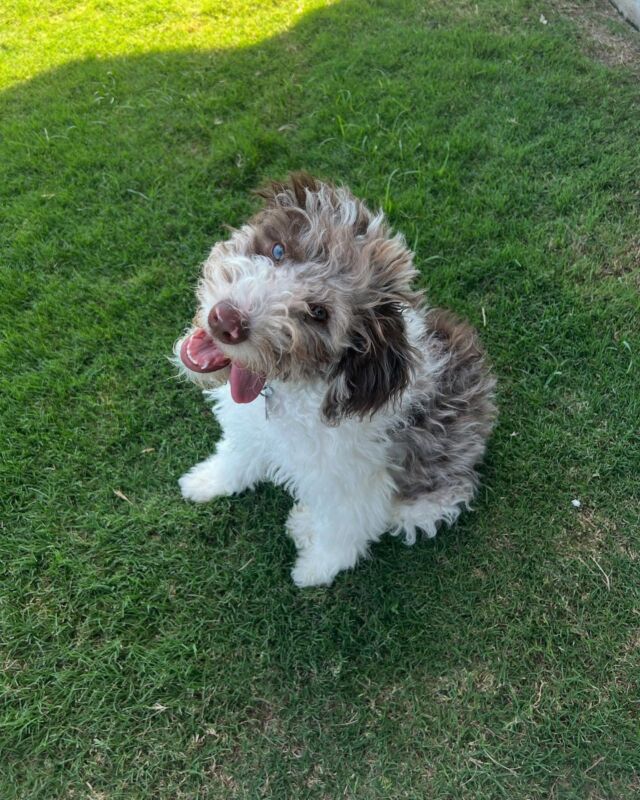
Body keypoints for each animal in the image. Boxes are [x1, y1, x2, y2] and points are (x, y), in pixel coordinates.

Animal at [175, 173, 500, 588]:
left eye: (318, 313)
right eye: (279, 250)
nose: (225, 320)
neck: (291, 387)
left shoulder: (352, 484)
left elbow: (343, 531)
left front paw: (315, 568)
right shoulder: (252, 430)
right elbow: (236, 457)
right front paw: (205, 481)